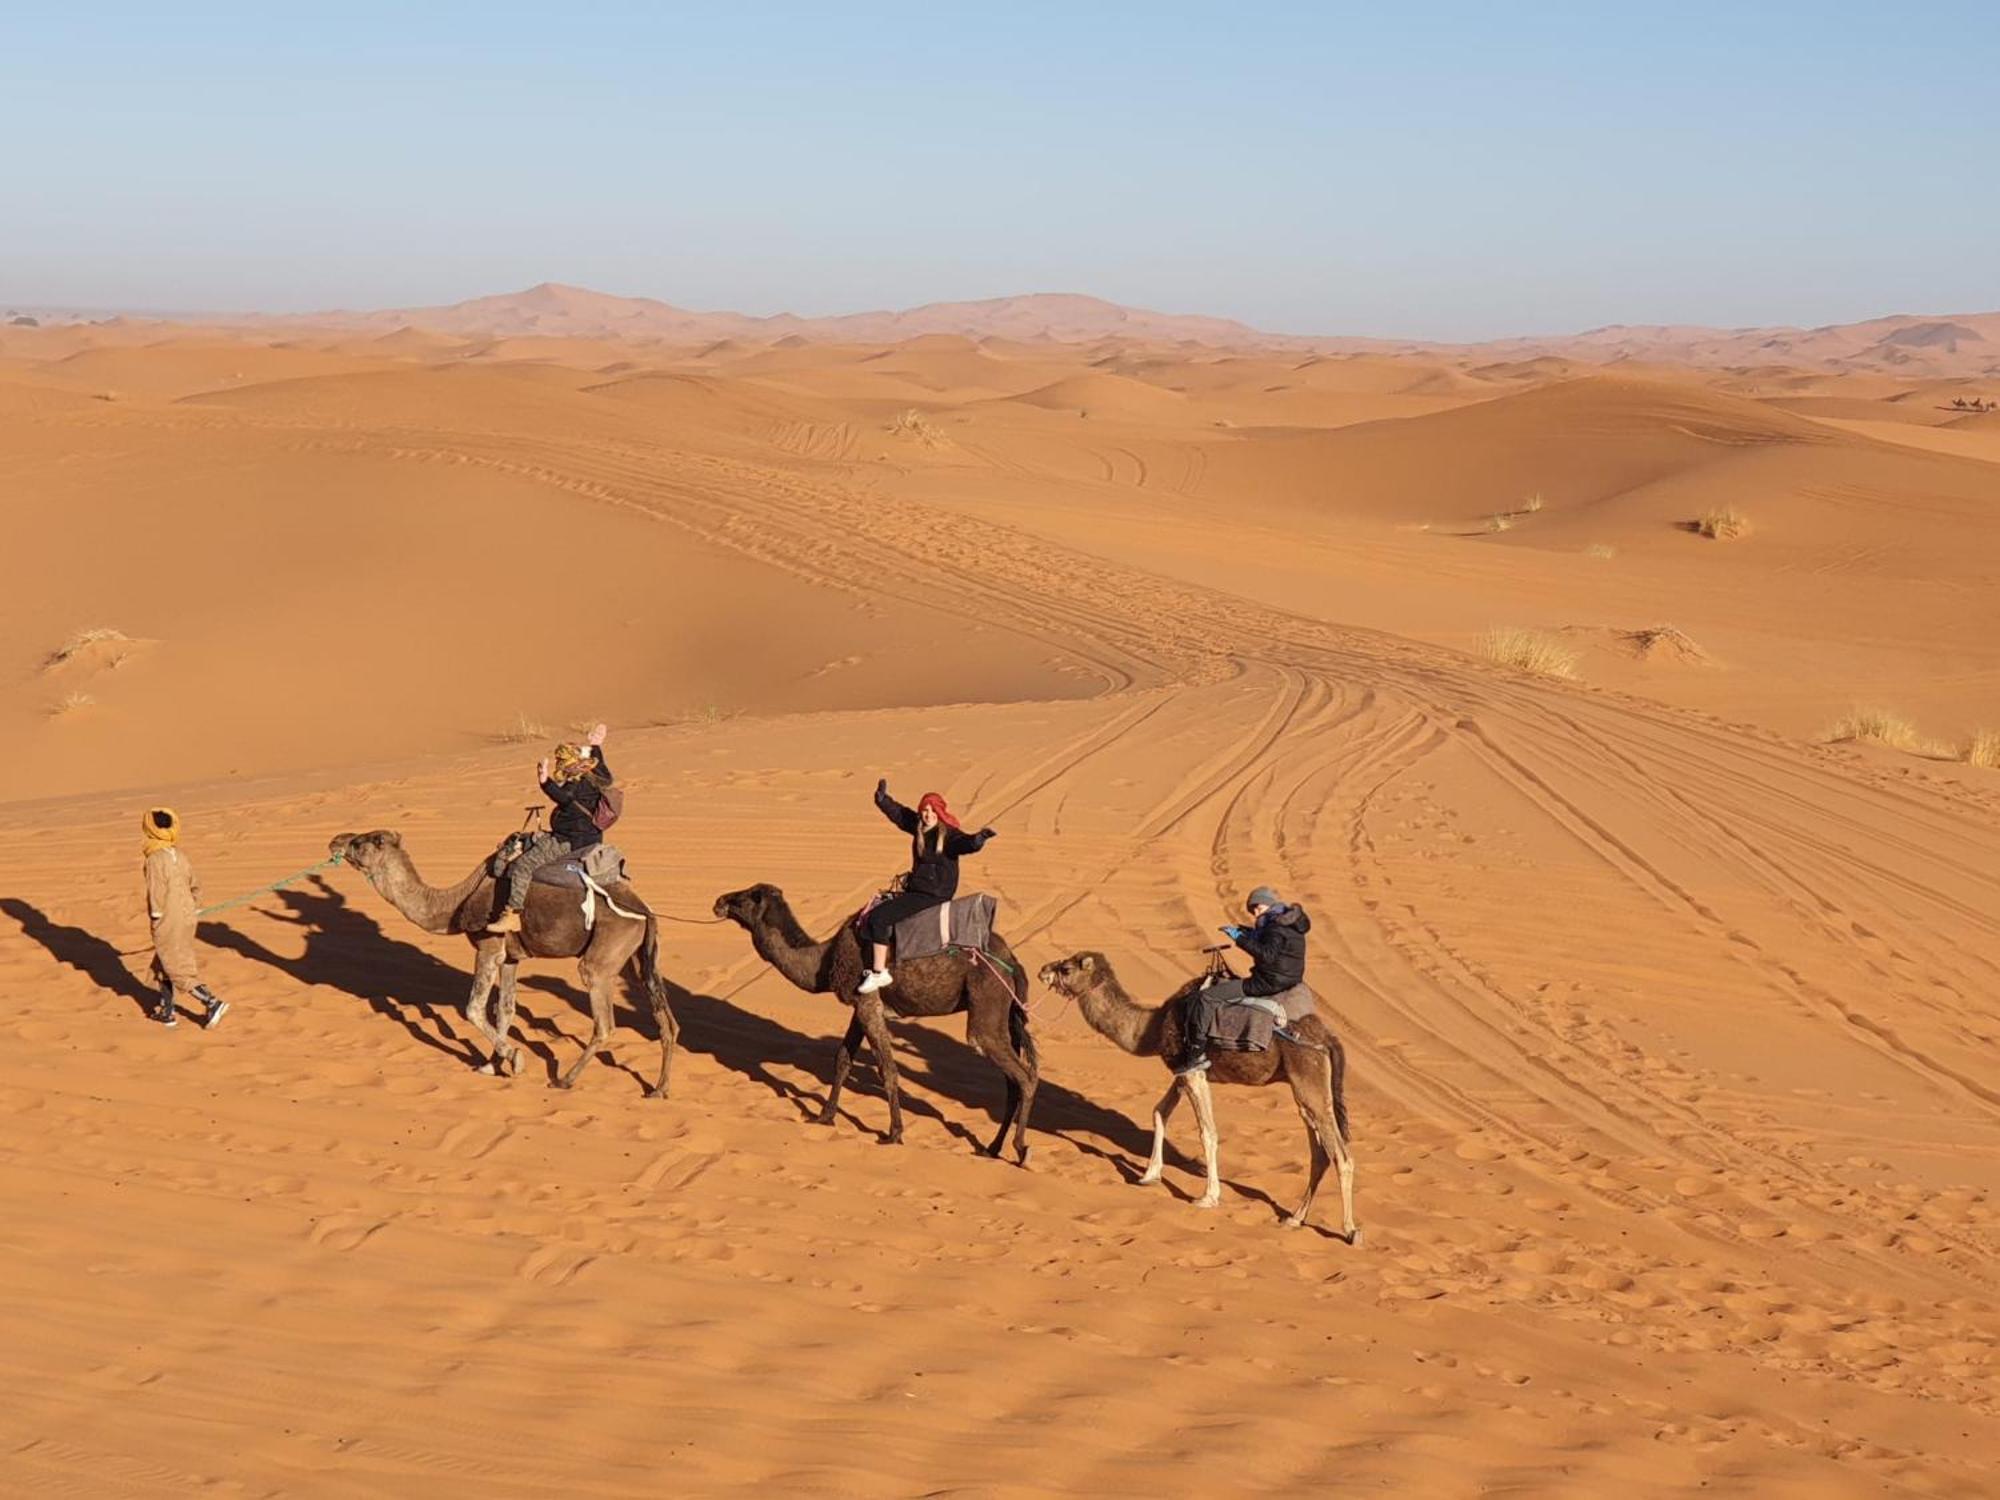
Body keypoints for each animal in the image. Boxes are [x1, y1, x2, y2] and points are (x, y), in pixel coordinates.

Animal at [324, 828, 676, 1096]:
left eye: (363, 841)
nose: (335, 840)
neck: (454, 903)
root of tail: (645, 910)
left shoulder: (489, 945)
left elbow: (473, 1008)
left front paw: (514, 1058)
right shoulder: (511, 957)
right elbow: (505, 1009)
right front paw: (492, 1064)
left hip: (604, 955)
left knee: (603, 1021)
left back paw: (564, 1079)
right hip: (639, 957)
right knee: (666, 1020)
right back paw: (658, 1089)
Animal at [712, 888, 1040, 1168]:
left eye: (747, 897)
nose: (719, 901)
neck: (824, 960)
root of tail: (1013, 962)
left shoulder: (868, 1003)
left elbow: (887, 1068)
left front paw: (894, 1133)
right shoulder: (858, 1005)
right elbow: (842, 1059)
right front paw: (824, 1117)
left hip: (987, 1000)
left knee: (1021, 1074)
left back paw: (1020, 1149)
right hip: (1006, 1014)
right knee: (1012, 1082)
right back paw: (991, 1148)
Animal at [1032, 956, 1360, 1240]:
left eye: (1066, 968)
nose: (1042, 970)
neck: (1153, 1027)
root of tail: (1329, 1038)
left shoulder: (1195, 1072)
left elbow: (1207, 1132)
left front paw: (1207, 1197)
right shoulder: (1182, 1070)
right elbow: (1159, 1112)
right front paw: (1149, 1175)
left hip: (1309, 1076)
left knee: (1341, 1155)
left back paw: (1350, 1230)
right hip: (1305, 1087)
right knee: (1320, 1152)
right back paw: (1294, 1218)